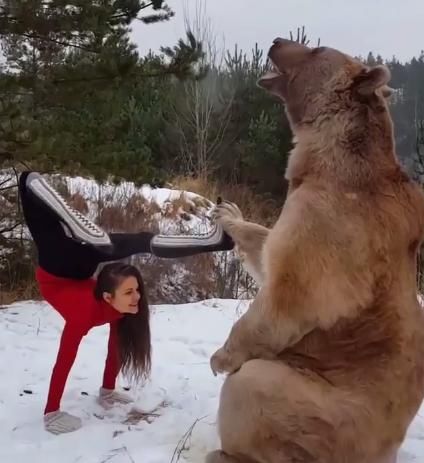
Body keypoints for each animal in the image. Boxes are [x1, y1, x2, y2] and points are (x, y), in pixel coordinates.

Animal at [206, 38, 424, 463]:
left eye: (317, 48)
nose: (276, 41)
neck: (326, 160)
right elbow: (267, 247)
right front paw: (229, 213)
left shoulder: (333, 223)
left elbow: (290, 294)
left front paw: (220, 357)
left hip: (323, 409)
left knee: (254, 385)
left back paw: (225, 452)